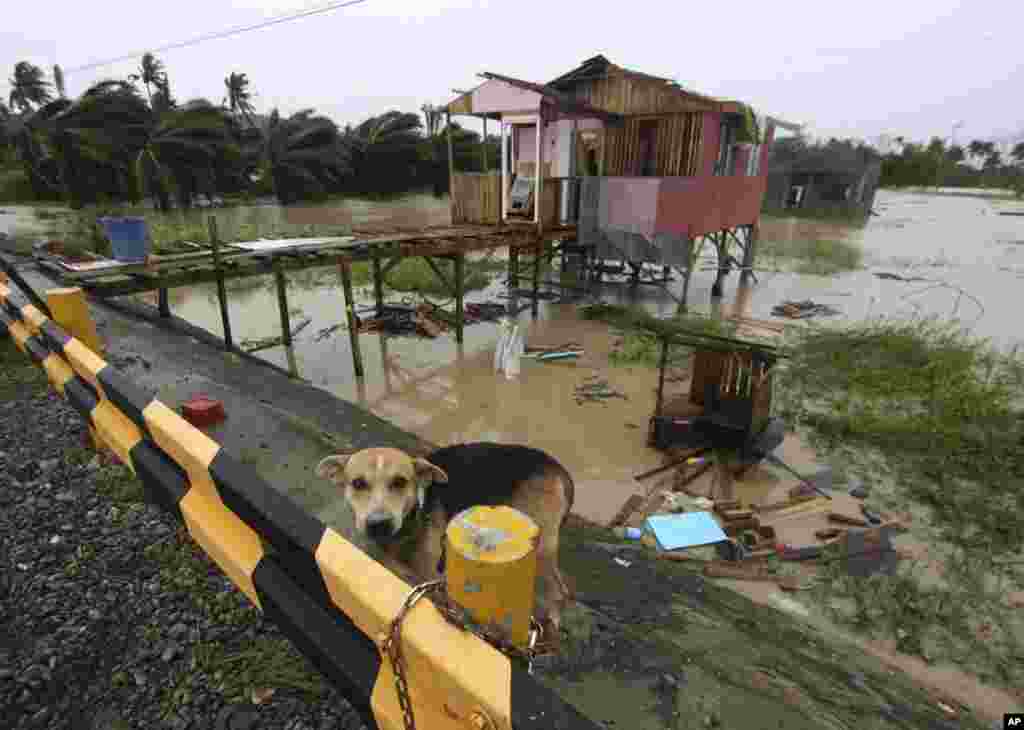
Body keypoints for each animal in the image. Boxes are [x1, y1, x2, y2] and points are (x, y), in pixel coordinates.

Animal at [315, 442, 577, 634]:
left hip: (539, 544)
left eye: (400, 482)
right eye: (358, 483)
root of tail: (558, 468)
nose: (379, 525)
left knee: (560, 591)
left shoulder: (428, 578)